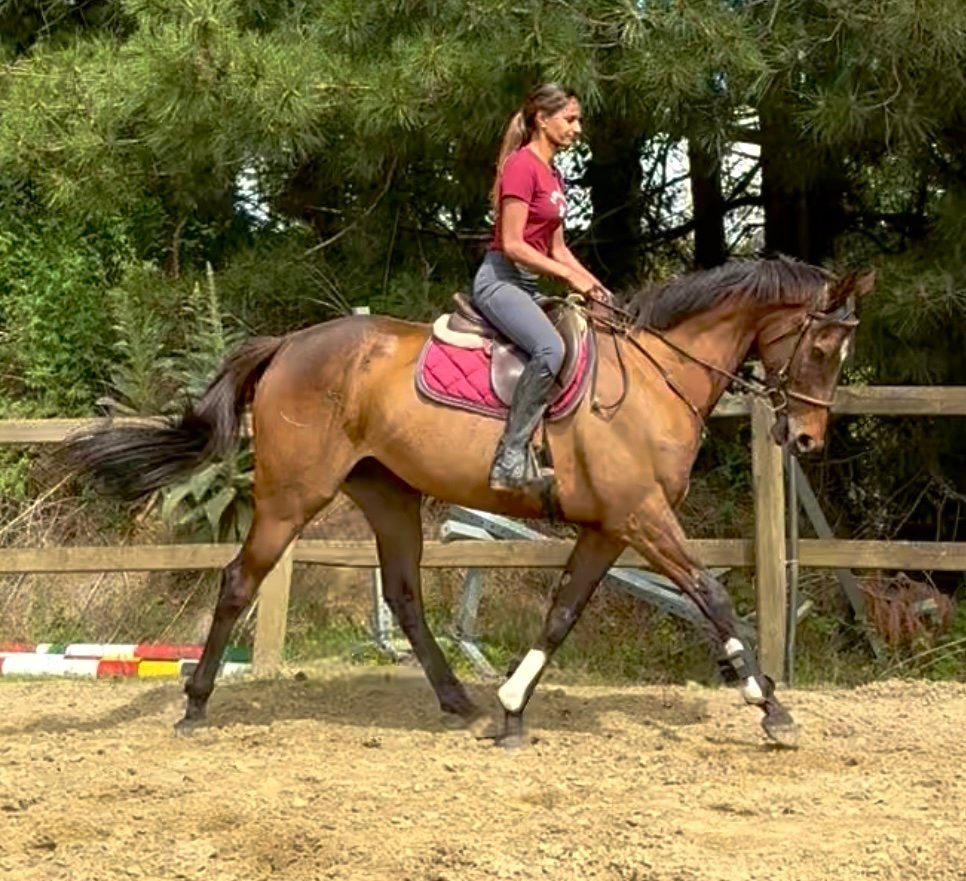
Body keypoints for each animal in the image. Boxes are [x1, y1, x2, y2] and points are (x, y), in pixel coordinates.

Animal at [65, 256, 875, 747]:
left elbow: (563, 611)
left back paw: (460, 700)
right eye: (821, 349)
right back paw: (196, 702)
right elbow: (712, 594)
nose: (806, 439)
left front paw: (512, 710)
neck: (653, 378)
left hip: (388, 496)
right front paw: (770, 705)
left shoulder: (611, 526)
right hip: (291, 496)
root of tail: (290, 343)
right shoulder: (642, 516)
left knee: (404, 595)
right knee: (240, 580)